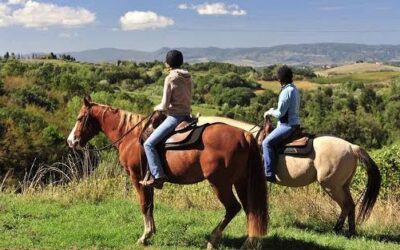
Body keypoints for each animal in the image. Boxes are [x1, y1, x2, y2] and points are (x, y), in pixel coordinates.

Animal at [67, 96, 268, 248]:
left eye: (80, 118)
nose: (71, 141)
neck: (131, 136)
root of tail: (245, 135)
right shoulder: (149, 181)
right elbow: (150, 205)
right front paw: (152, 231)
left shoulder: (136, 178)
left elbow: (144, 204)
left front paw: (144, 236)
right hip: (241, 181)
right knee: (250, 210)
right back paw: (248, 243)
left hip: (220, 183)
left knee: (233, 208)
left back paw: (213, 240)